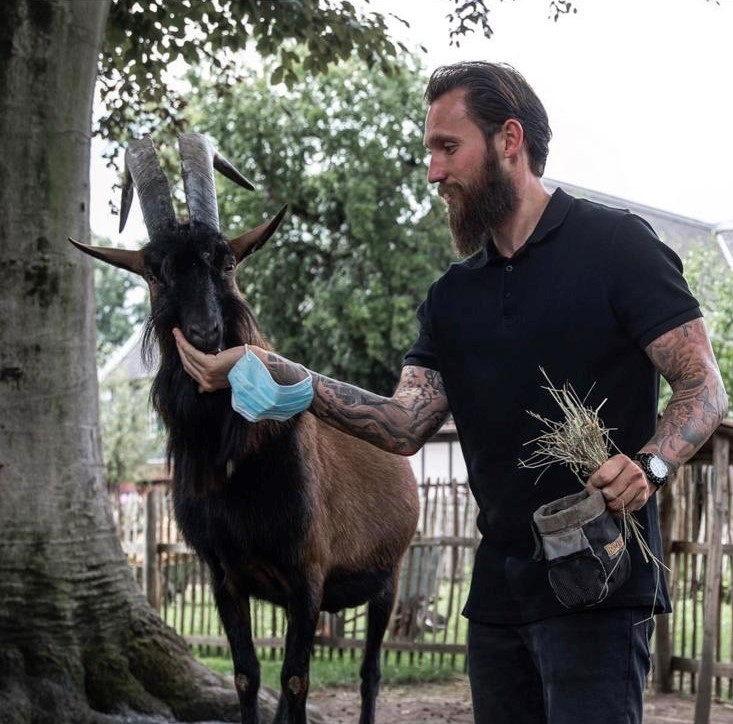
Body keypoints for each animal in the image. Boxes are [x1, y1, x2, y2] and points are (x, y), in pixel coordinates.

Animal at [73, 133, 424, 720]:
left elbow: (296, 680)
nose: (207, 334)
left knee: (370, 672)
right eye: (154, 271)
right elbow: (247, 676)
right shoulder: (225, 575)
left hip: (387, 579)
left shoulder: (307, 574)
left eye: (228, 260)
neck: (235, 461)